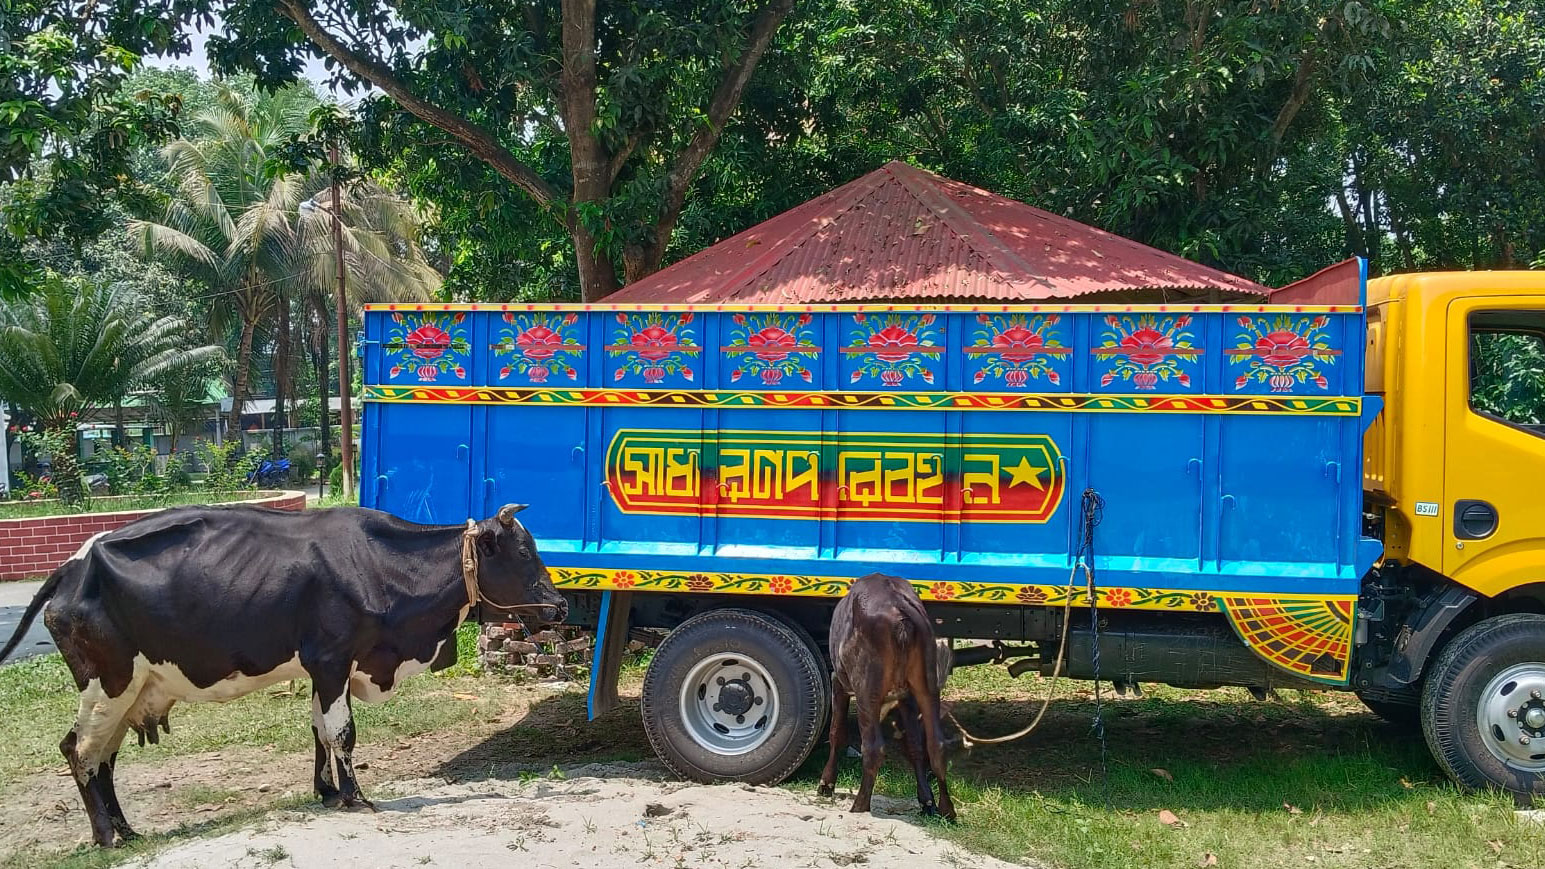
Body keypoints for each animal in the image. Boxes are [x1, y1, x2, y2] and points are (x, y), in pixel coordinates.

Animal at [0, 500, 565, 847]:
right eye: (524, 551)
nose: (559, 606)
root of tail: (74, 566)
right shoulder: (333, 659)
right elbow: (342, 732)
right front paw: (356, 798)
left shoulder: (325, 666)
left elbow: (319, 730)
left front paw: (328, 792)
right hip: (107, 681)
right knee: (78, 750)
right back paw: (103, 836)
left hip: (128, 689)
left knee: (105, 758)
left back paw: (127, 830)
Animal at [821, 572, 951, 816]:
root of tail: (898, 604)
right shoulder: (906, 698)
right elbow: (914, 745)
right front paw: (926, 799)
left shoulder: (838, 682)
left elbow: (836, 733)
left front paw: (826, 784)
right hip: (927, 685)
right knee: (936, 745)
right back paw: (946, 809)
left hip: (866, 689)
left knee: (873, 748)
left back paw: (860, 806)